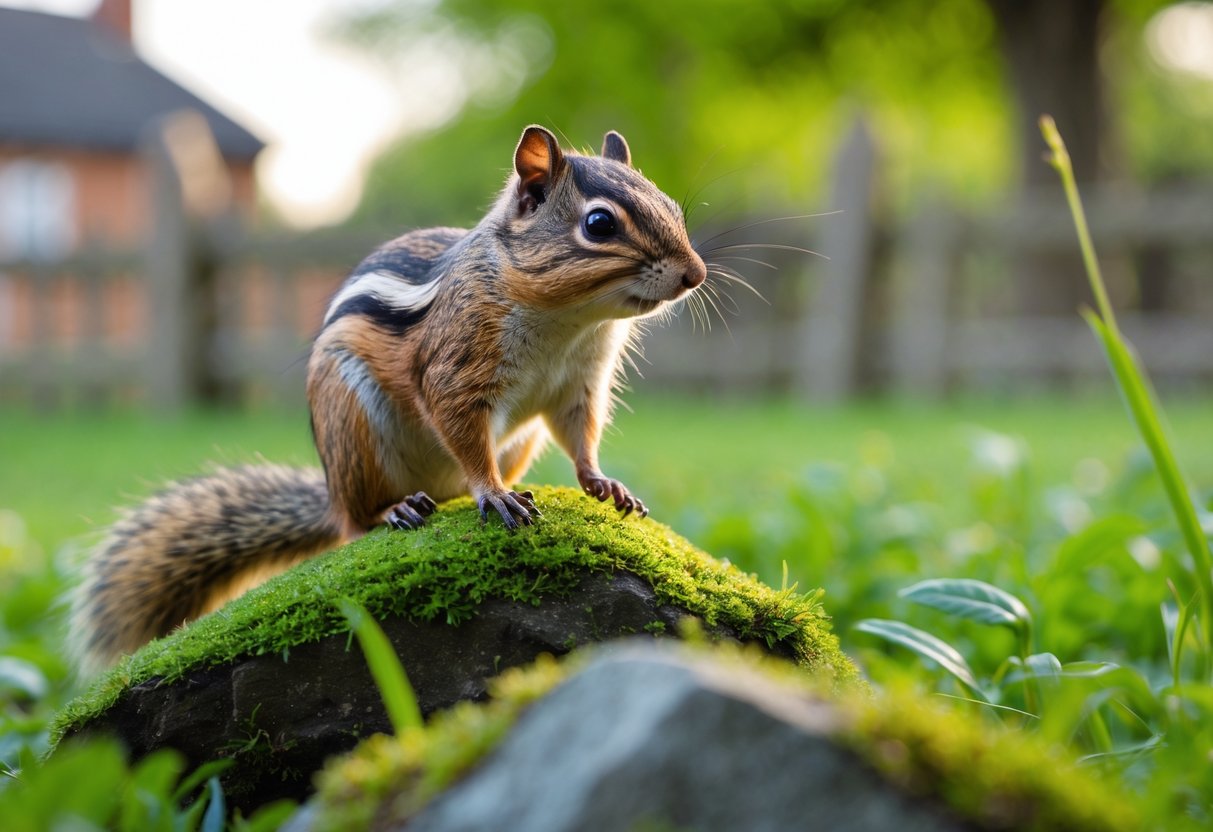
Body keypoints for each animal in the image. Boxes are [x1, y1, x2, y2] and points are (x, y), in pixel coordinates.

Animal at [70, 125, 707, 675]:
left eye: (672, 207)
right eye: (598, 224)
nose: (695, 274)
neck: (570, 322)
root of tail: (333, 494)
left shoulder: (580, 385)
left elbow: (581, 437)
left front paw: (603, 483)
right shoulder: (454, 372)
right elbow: (465, 435)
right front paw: (495, 494)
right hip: (352, 427)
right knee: (356, 523)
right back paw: (394, 509)